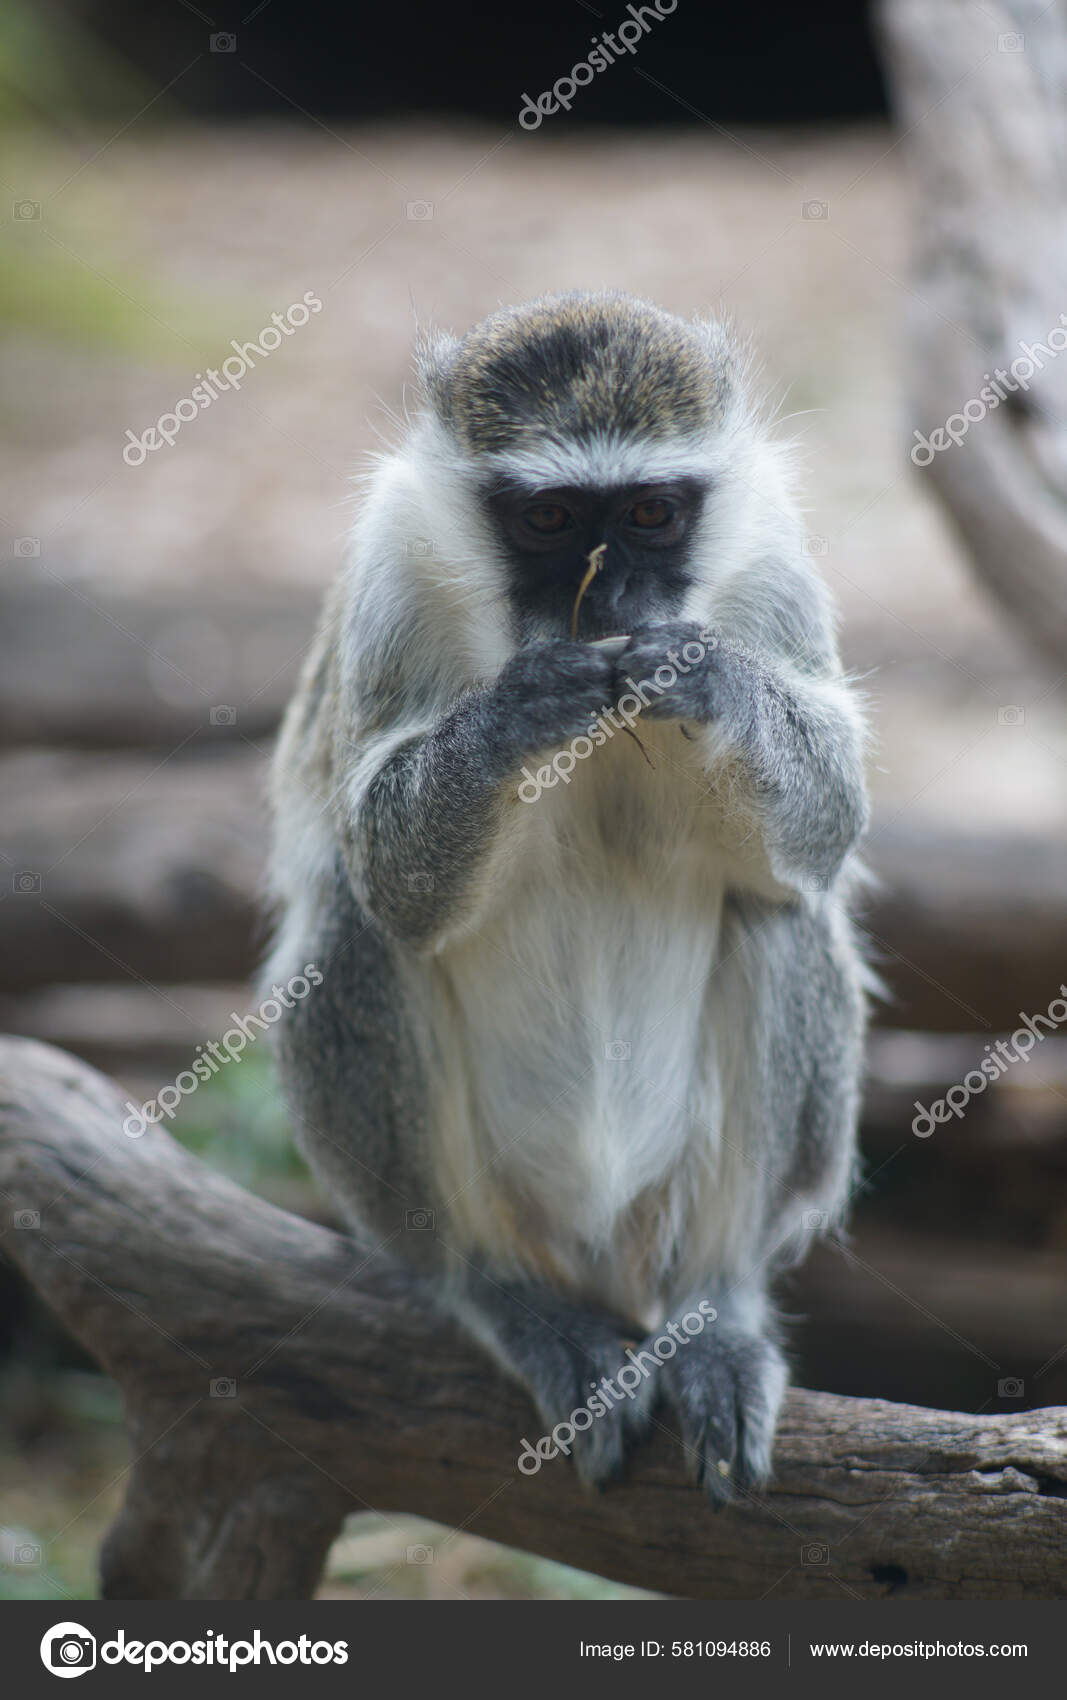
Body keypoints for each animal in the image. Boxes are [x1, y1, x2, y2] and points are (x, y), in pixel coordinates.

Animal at [263, 292, 869, 1502]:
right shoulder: (393, 569)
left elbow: (828, 817)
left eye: (649, 512)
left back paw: (717, 1313)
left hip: (666, 1216)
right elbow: (385, 868)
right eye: (547, 518)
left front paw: (711, 680)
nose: (613, 597)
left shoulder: (772, 558)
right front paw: (520, 711)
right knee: (358, 930)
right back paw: (505, 1293)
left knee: (778, 913)